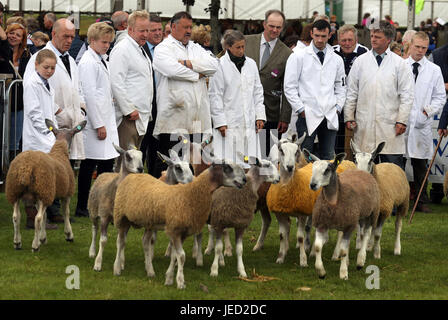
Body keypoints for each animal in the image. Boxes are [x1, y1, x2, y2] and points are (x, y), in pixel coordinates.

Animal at [6, 119, 86, 251]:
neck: (59, 152)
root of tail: (26, 167)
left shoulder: (39, 196)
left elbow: (45, 216)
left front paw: (42, 238)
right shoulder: (66, 194)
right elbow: (65, 212)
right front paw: (69, 234)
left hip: (16, 191)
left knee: (16, 217)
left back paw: (17, 243)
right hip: (42, 189)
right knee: (37, 219)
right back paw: (34, 246)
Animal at [87, 144, 144, 272]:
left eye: (142, 156)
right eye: (128, 156)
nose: (141, 169)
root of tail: (107, 172)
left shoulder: (125, 221)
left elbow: (122, 242)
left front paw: (120, 264)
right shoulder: (104, 216)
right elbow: (103, 240)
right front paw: (98, 264)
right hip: (93, 210)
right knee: (94, 229)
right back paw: (92, 252)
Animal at [111, 159, 245, 288]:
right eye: (227, 167)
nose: (244, 180)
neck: (189, 194)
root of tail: (133, 175)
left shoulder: (182, 232)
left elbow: (175, 256)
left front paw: (169, 278)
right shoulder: (174, 230)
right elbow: (181, 256)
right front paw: (180, 282)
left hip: (148, 222)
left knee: (145, 242)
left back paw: (150, 271)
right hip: (121, 217)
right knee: (120, 242)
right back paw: (117, 268)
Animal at [306, 151, 380, 280]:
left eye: (327, 170)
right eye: (312, 168)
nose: (313, 185)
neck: (333, 201)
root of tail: (362, 171)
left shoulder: (349, 225)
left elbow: (343, 251)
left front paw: (343, 273)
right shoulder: (321, 224)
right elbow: (318, 247)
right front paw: (321, 272)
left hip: (371, 213)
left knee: (366, 234)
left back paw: (360, 260)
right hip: (355, 217)